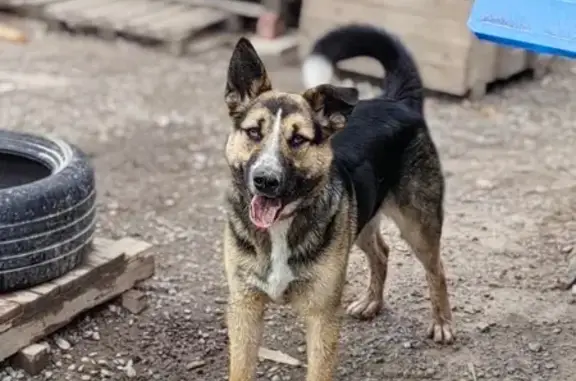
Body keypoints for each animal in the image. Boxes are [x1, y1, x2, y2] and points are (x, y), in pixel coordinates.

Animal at [223, 23, 452, 380]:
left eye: (298, 139)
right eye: (253, 133)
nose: (265, 180)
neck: (281, 228)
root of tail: (397, 100)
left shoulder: (322, 315)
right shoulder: (245, 308)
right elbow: (241, 368)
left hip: (418, 226)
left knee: (436, 268)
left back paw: (442, 323)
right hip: (360, 220)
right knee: (382, 252)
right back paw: (372, 302)